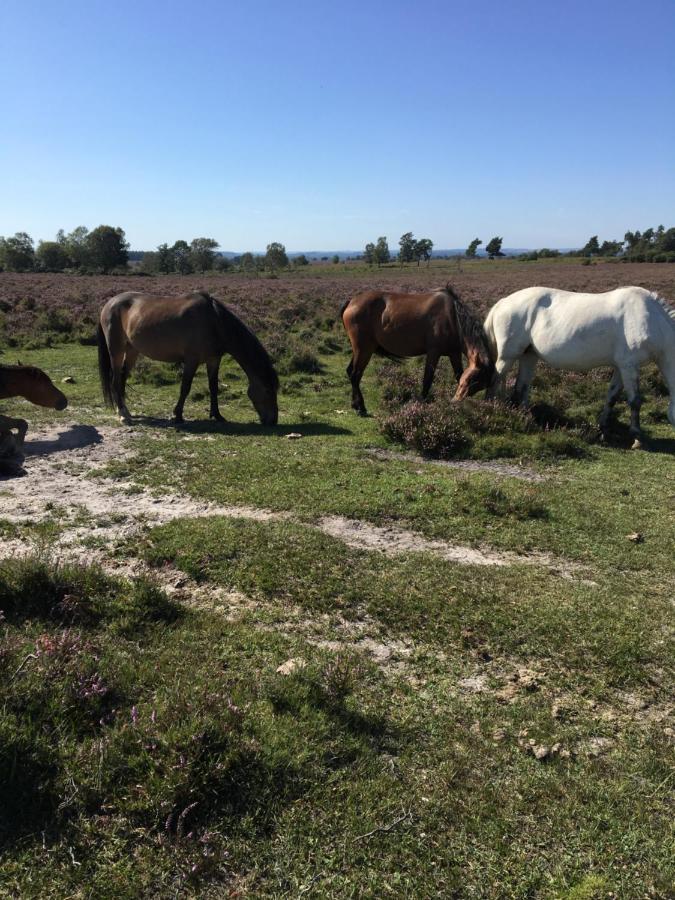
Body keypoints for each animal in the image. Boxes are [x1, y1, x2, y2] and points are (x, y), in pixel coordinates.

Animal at [97, 292, 280, 426]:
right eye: (268, 390)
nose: (273, 420)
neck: (215, 321)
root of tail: (109, 303)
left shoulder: (213, 360)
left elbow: (213, 387)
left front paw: (217, 415)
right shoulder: (192, 361)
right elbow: (185, 387)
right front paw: (177, 415)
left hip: (132, 350)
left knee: (122, 377)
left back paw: (125, 410)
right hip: (116, 350)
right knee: (115, 379)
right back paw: (122, 414)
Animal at [344, 284, 496, 416]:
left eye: (478, 384)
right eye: (474, 380)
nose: (456, 401)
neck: (452, 317)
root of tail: (351, 301)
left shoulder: (454, 354)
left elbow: (458, 375)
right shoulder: (434, 353)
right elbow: (427, 379)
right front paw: (421, 404)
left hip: (359, 350)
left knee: (350, 372)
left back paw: (355, 405)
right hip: (364, 349)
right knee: (355, 375)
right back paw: (361, 407)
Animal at [486, 286, 675, 444]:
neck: (651, 318)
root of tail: (502, 302)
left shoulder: (621, 367)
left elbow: (612, 397)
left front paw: (603, 428)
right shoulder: (630, 366)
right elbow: (635, 401)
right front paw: (637, 437)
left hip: (529, 356)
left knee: (522, 387)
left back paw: (526, 419)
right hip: (507, 357)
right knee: (495, 380)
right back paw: (490, 410)